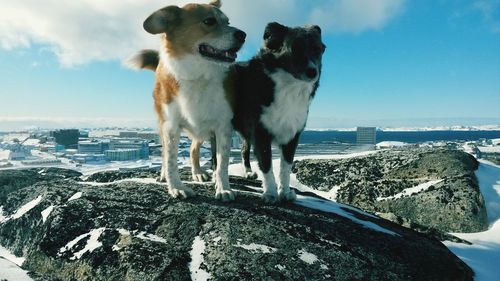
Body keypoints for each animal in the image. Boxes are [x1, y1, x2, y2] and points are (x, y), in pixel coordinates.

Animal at [130, 0, 245, 201]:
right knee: (164, 153)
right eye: (209, 21)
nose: (243, 35)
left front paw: (223, 187)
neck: (198, 75)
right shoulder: (171, 125)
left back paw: (198, 172)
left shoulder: (223, 126)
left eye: (228, 22)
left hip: (202, 128)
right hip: (163, 124)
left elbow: (222, 163)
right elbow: (171, 160)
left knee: (193, 149)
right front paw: (176, 187)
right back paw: (163, 174)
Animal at [229, 21, 326, 201]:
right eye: (295, 48)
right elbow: (266, 164)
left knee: (244, 150)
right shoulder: (260, 132)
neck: (289, 87)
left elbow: (286, 167)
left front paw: (285, 192)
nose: (313, 72)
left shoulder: (293, 134)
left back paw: (248, 172)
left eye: (318, 49)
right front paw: (270, 193)